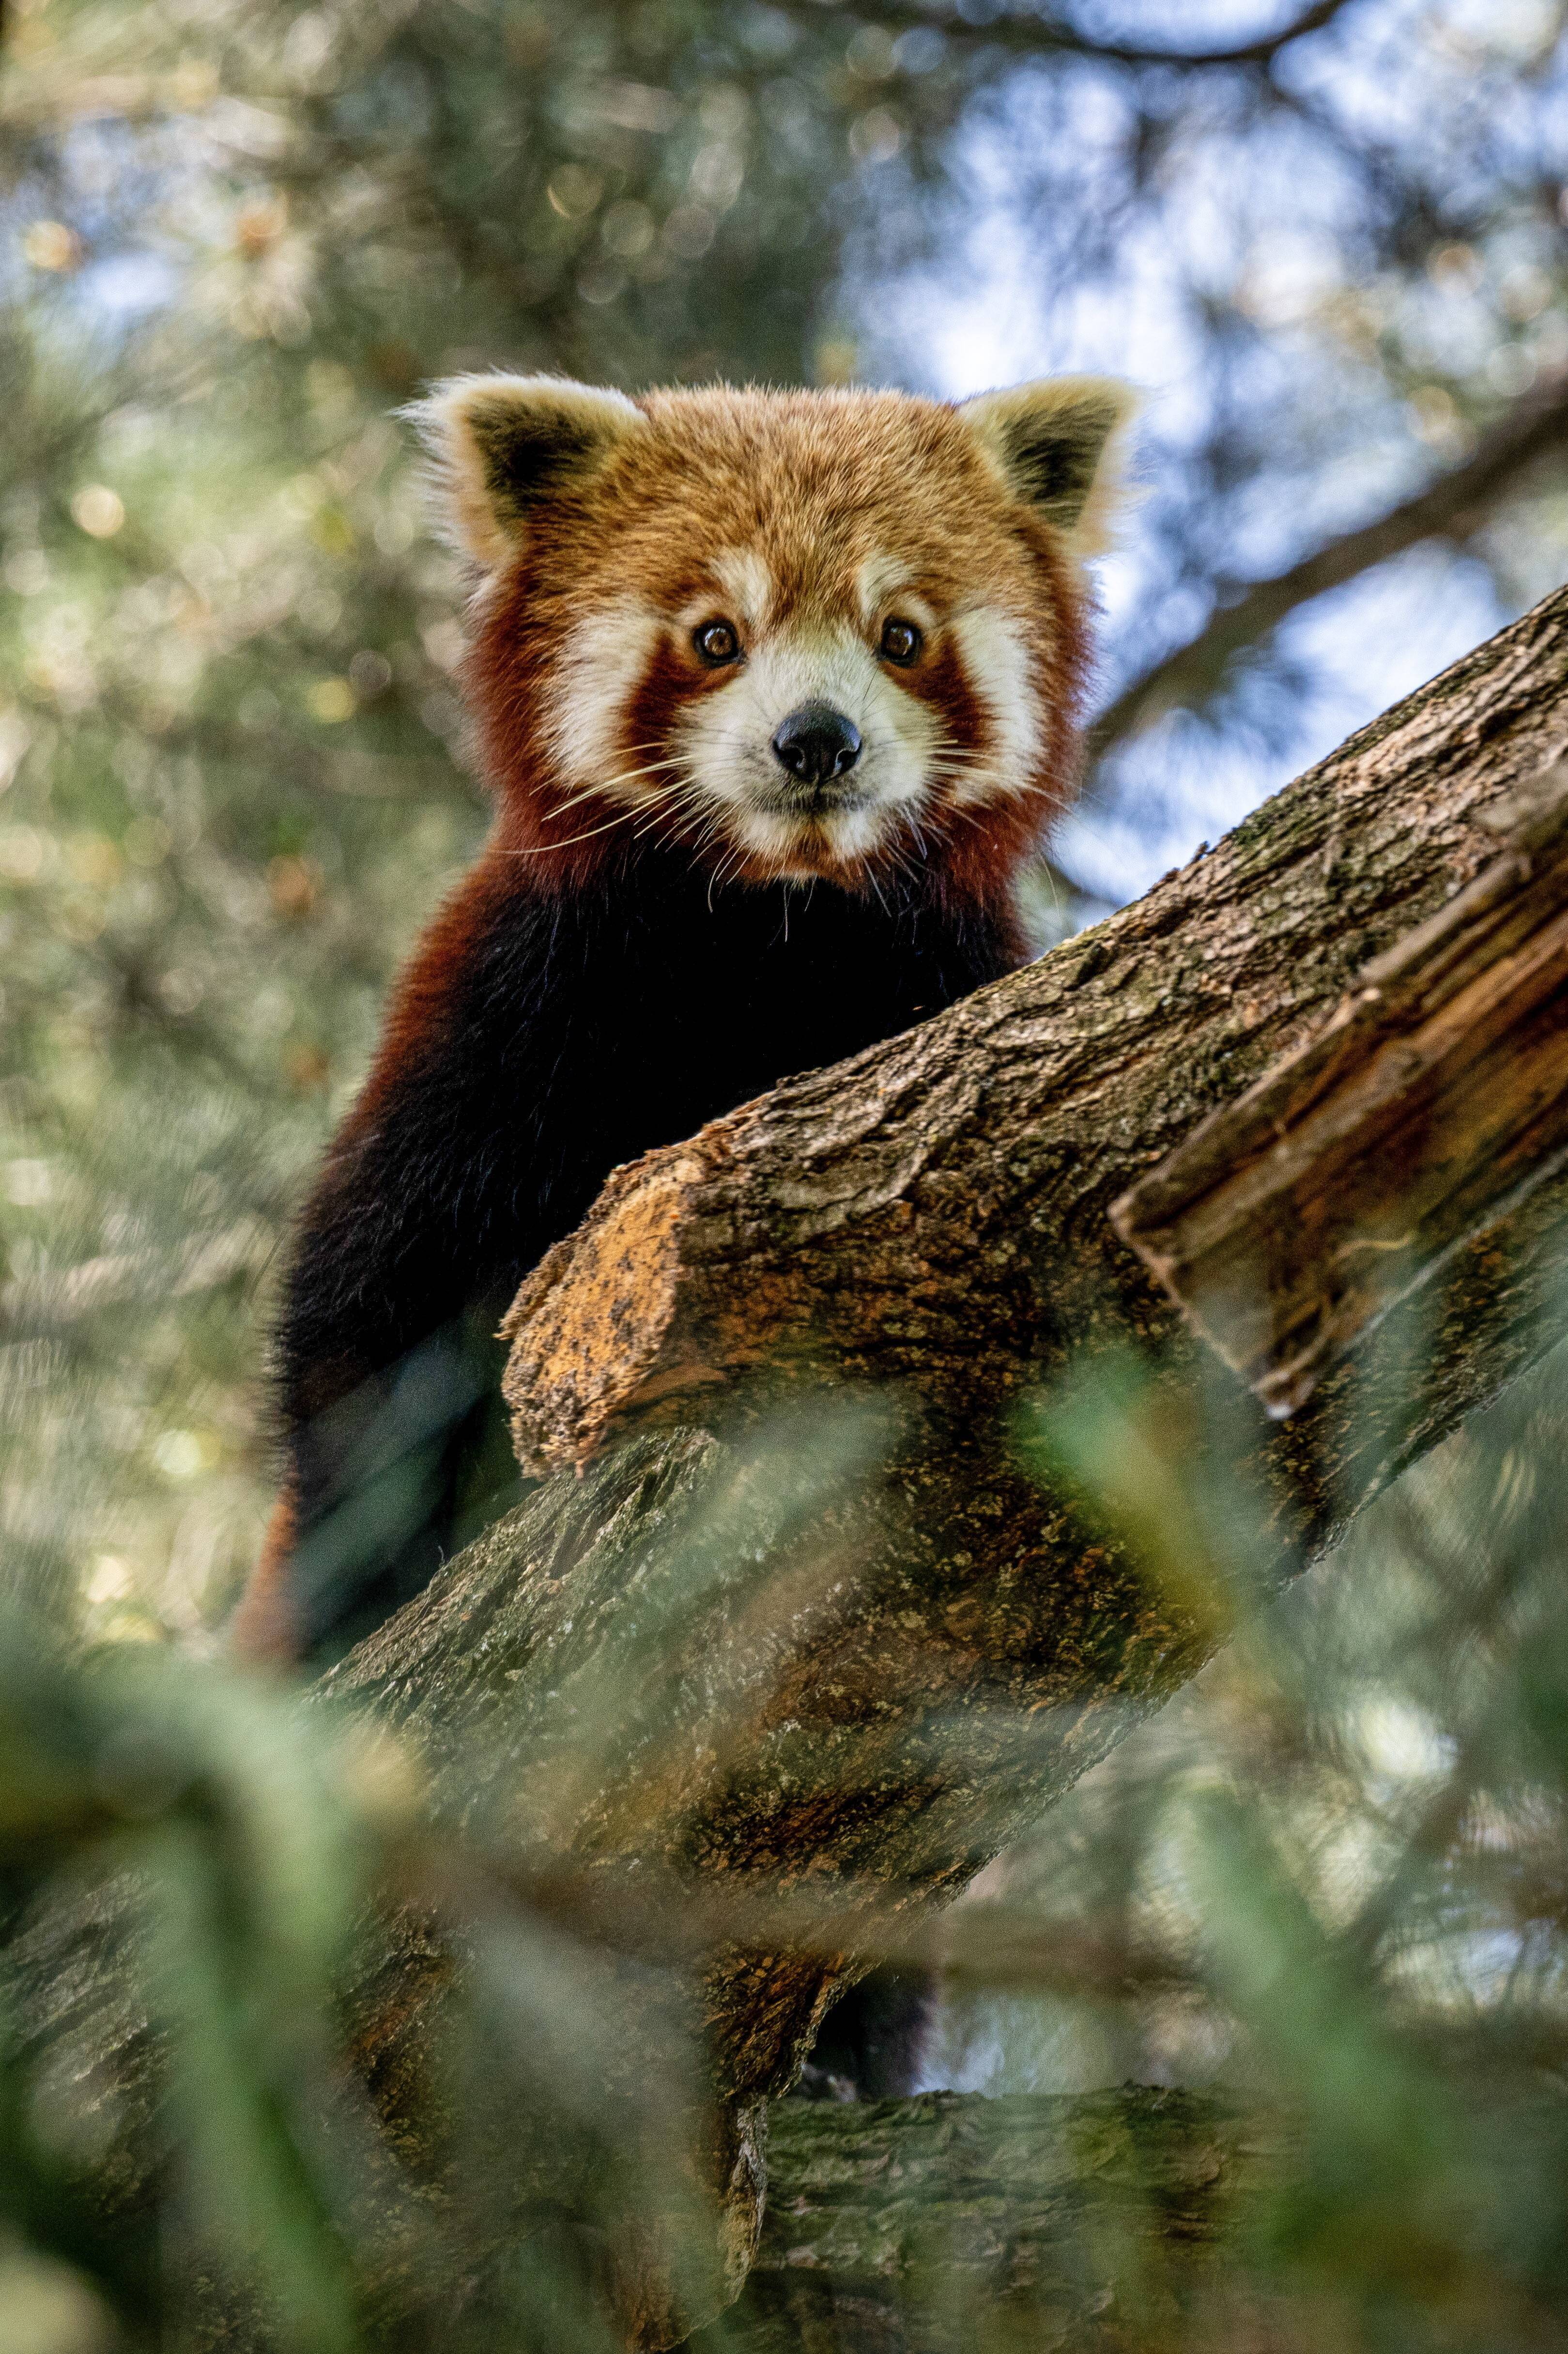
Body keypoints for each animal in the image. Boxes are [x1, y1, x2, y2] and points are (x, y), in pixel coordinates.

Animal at [231, 367, 1130, 1657]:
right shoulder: (506, 1011)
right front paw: (372, 1570)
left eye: (901, 637)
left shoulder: (939, 982)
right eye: (715, 637)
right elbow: (364, 1318)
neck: (759, 935)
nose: (817, 741)